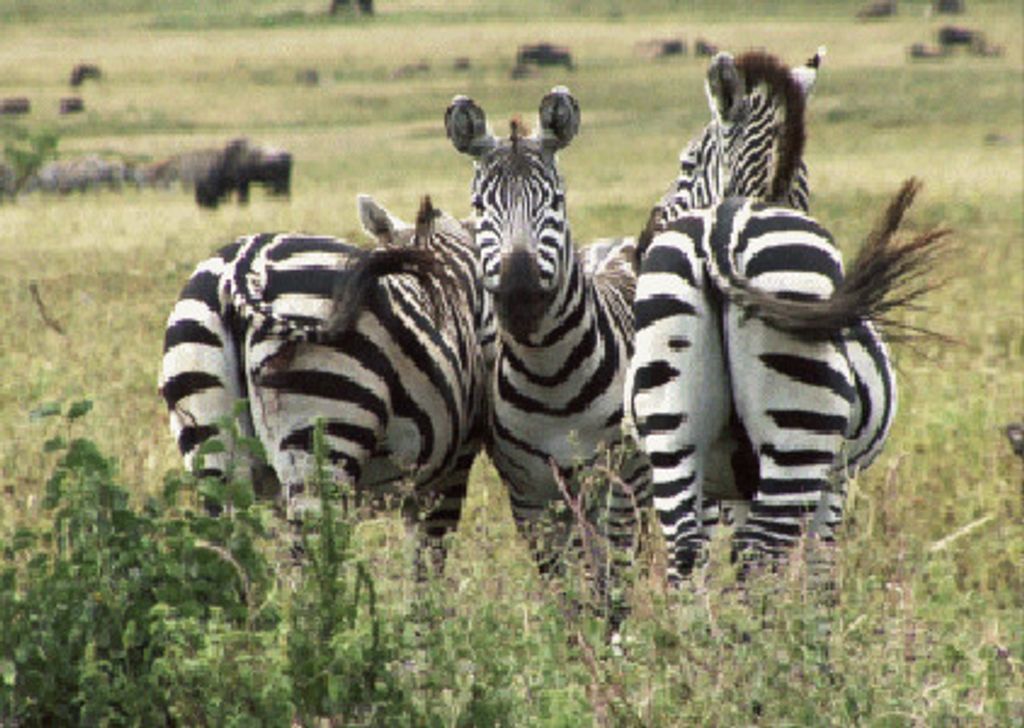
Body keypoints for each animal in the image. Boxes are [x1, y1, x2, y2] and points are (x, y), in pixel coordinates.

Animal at [158, 195, 489, 573]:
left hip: (210, 439)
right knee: (313, 562)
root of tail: (243, 266)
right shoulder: (449, 472)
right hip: (326, 431)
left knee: (224, 552)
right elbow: (427, 563)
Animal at [444, 87, 651, 604]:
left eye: (556, 200)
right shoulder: (531, 497)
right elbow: (567, 591)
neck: (552, 378)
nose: (520, 296)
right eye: (479, 206)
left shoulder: (616, 486)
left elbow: (611, 585)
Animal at [626, 179, 949, 581]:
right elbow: (819, 564)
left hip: (671, 426)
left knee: (688, 550)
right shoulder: (836, 479)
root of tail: (721, 229)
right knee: (760, 551)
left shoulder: (733, 489)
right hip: (800, 429)